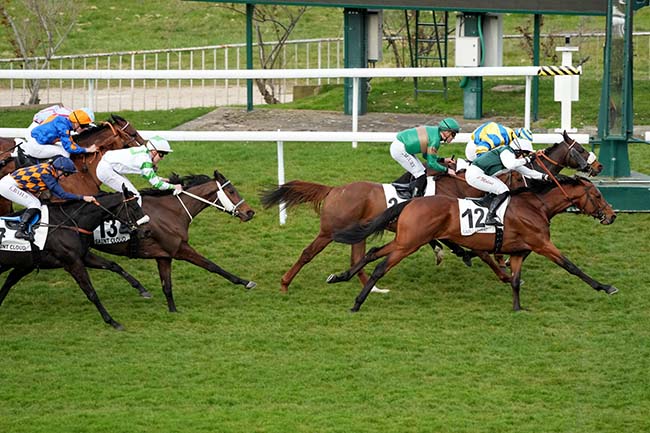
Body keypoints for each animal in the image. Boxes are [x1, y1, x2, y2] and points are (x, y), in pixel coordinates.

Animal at [0, 187, 146, 330]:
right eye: (135, 207)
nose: (145, 231)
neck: (71, 223)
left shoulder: (82, 256)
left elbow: (113, 265)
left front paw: (142, 289)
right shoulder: (72, 263)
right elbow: (91, 292)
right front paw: (112, 321)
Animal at [79, 169, 254, 310]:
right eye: (231, 191)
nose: (250, 212)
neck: (172, 211)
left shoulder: (163, 256)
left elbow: (167, 287)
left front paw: (173, 311)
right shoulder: (179, 249)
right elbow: (212, 265)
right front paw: (245, 282)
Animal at [260, 131, 604, 294]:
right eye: (580, 149)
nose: (598, 166)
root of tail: (333, 190)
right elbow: (478, 251)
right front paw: (500, 269)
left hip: (355, 232)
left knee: (359, 257)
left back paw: (372, 286)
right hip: (330, 231)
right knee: (308, 253)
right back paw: (285, 283)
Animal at [330, 174, 616, 312]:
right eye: (597, 195)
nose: (612, 215)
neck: (537, 206)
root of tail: (412, 201)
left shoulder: (519, 252)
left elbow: (514, 280)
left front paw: (517, 308)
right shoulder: (542, 244)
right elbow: (571, 266)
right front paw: (605, 287)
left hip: (405, 239)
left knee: (372, 253)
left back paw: (340, 276)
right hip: (408, 244)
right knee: (380, 267)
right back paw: (357, 303)